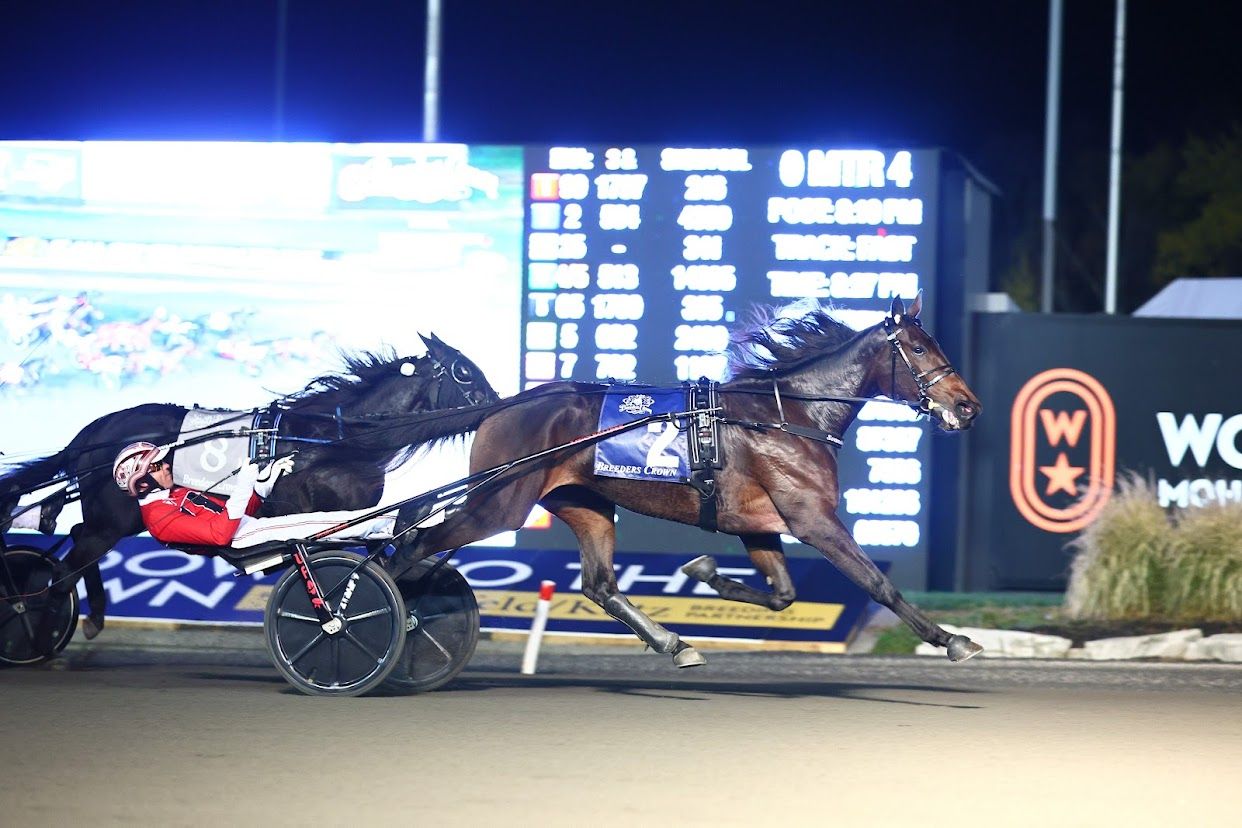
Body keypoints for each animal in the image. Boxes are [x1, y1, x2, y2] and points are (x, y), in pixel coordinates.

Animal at [4, 332, 499, 640]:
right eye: (464, 372)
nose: (496, 406)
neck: (332, 438)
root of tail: (92, 433)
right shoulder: (314, 518)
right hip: (113, 521)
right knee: (70, 563)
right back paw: (42, 617)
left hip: (111, 522)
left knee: (74, 540)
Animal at [385, 297, 978, 665]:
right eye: (919, 348)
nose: (967, 406)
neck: (788, 416)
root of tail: (507, 404)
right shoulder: (812, 519)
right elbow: (878, 583)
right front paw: (950, 639)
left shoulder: (758, 524)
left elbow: (783, 595)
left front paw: (705, 572)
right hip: (500, 503)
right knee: (414, 544)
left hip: (584, 502)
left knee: (600, 585)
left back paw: (674, 644)